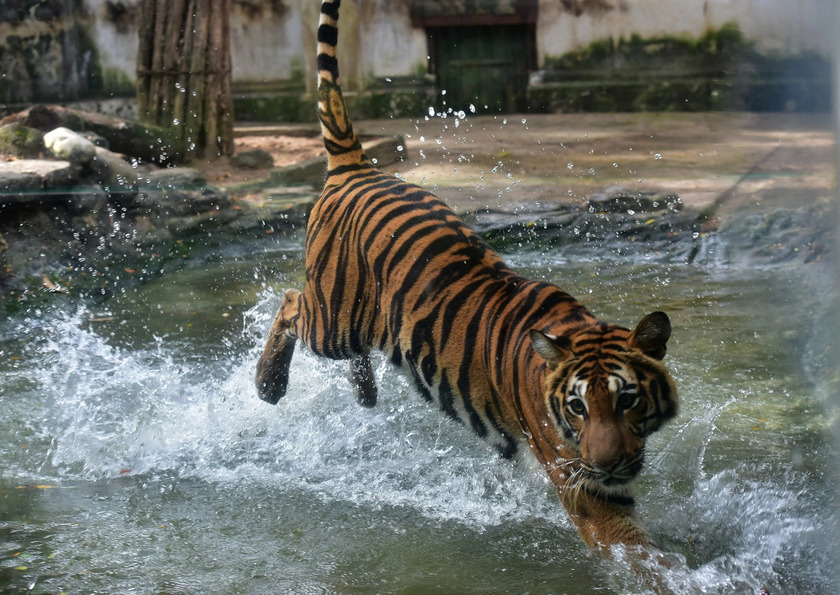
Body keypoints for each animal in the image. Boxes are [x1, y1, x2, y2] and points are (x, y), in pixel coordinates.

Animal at [254, 0, 676, 552]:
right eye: (578, 408)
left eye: (628, 399)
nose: (610, 464)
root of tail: (357, 167)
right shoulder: (584, 484)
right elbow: (642, 554)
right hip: (333, 316)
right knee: (288, 301)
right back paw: (268, 385)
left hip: (356, 323)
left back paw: (365, 394)